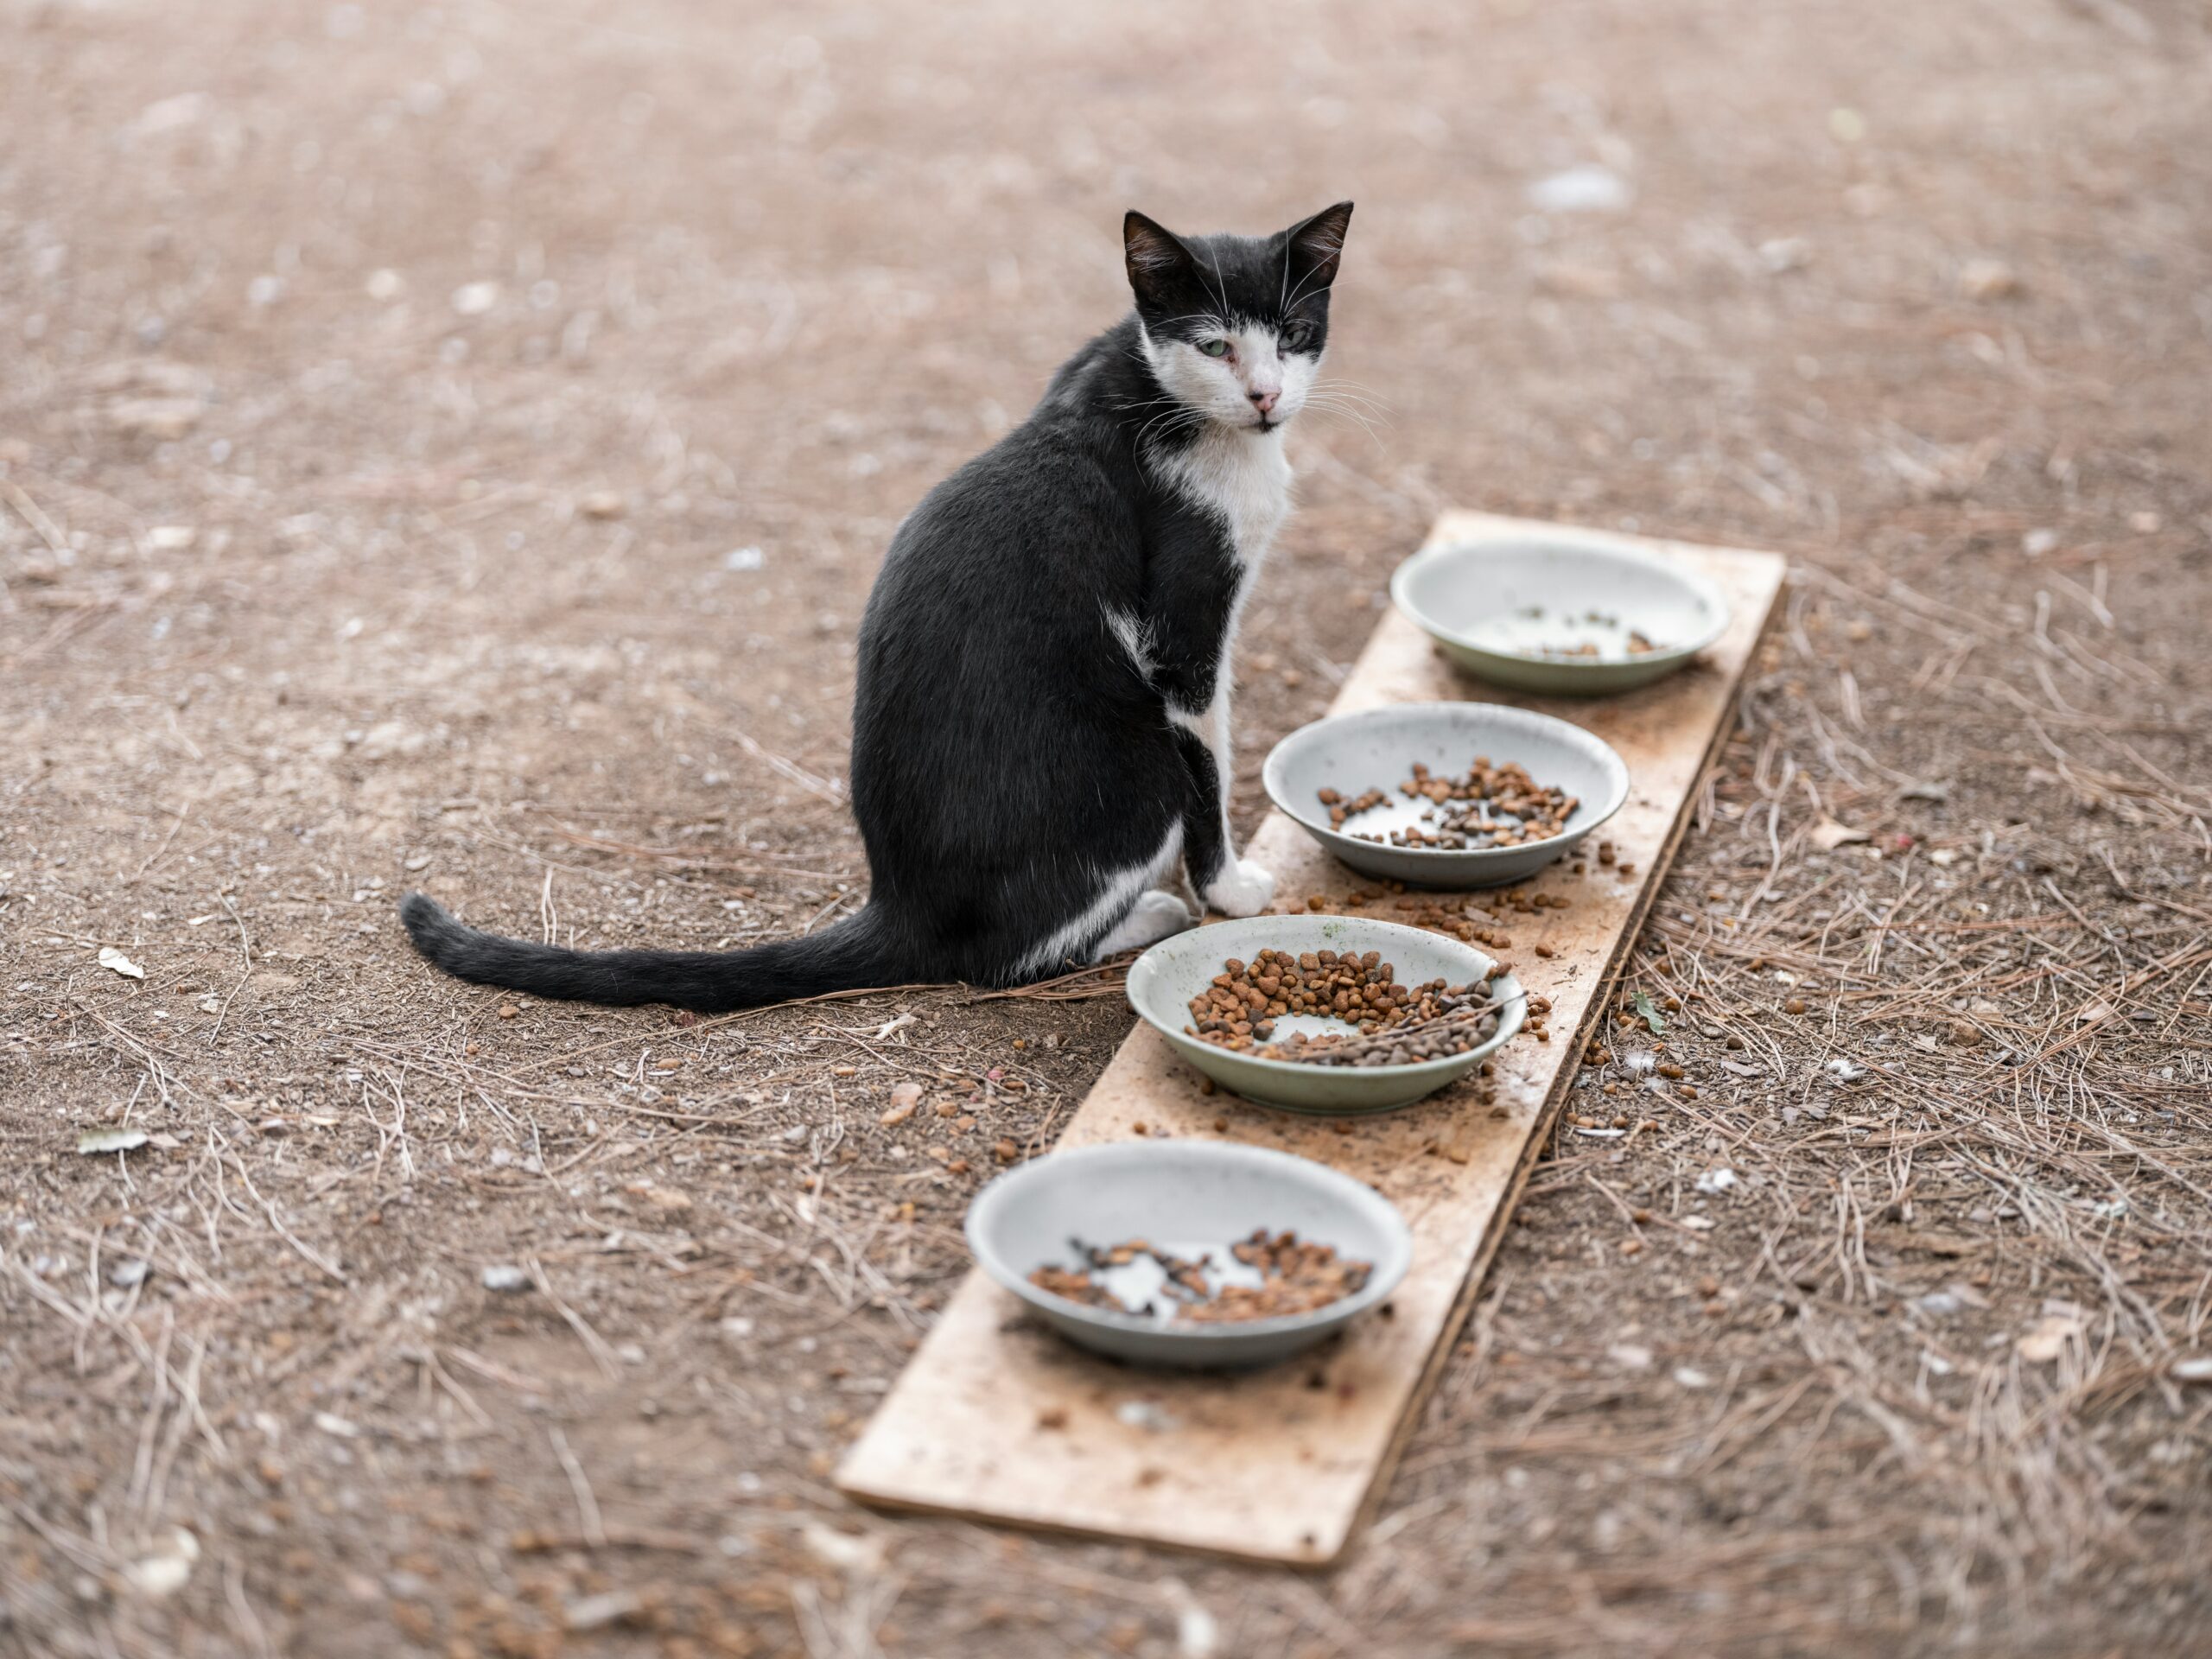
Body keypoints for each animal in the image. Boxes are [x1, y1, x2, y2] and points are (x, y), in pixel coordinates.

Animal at [407, 204, 1353, 1013]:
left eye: (1293, 337)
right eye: (1215, 344)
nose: (1266, 396)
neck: (1159, 394)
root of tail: (899, 905)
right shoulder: (1183, 633)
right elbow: (1210, 771)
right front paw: (1228, 889)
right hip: (1133, 769)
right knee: (1005, 957)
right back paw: (1150, 916)